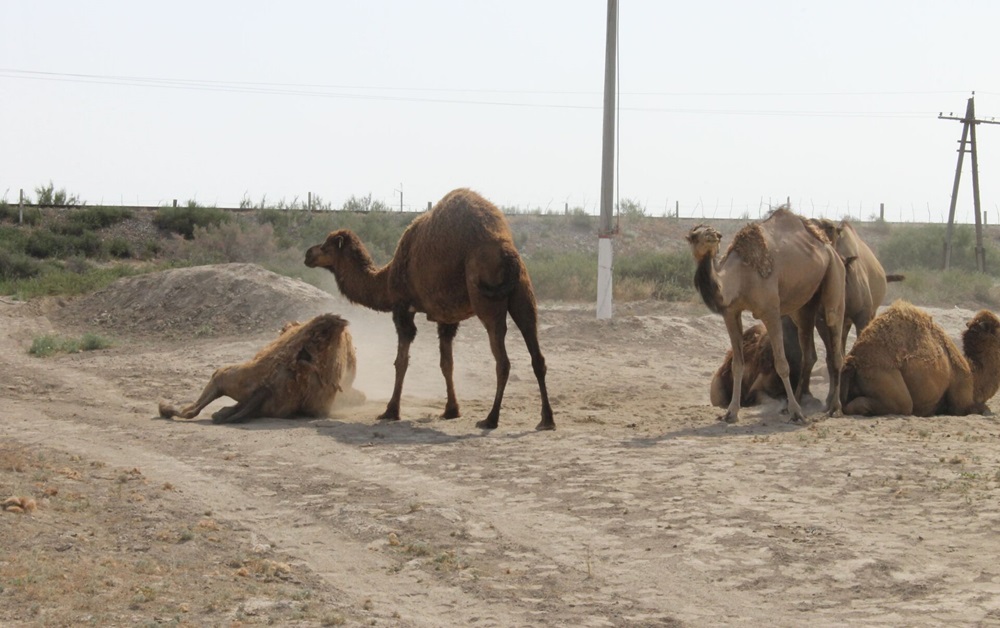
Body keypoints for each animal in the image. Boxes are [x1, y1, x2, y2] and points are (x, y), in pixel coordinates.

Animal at [302, 186, 556, 432]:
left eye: (325, 247)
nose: (307, 254)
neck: (387, 279)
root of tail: (508, 253)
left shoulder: (402, 307)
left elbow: (401, 361)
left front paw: (390, 411)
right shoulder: (447, 317)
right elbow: (447, 364)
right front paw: (451, 410)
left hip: (487, 297)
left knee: (502, 360)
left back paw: (491, 419)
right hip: (523, 293)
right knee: (536, 353)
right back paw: (546, 419)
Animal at [688, 209, 844, 424]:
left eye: (713, 232)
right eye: (694, 236)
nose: (713, 235)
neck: (740, 277)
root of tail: (829, 247)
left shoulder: (771, 311)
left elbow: (782, 364)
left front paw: (797, 413)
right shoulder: (731, 312)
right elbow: (737, 365)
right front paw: (730, 413)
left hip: (834, 275)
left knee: (834, 332)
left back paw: (834, 408)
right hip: (804, 305)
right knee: (809, 350)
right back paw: (800, 404)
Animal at [844, 300, 1000, 418]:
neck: (973, 373)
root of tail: (854, 360)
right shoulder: (961, 400)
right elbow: (981, 408)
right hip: (882, 374)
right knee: (903, 405)